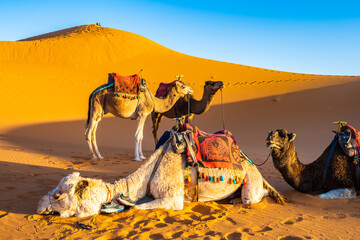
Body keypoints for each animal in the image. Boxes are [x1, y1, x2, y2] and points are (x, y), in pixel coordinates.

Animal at [36, 132, 284, 217]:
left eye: (58, 195)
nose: (39, 206)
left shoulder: (173, 199)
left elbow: (138, 207)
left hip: (251, 183)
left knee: (254, 197)